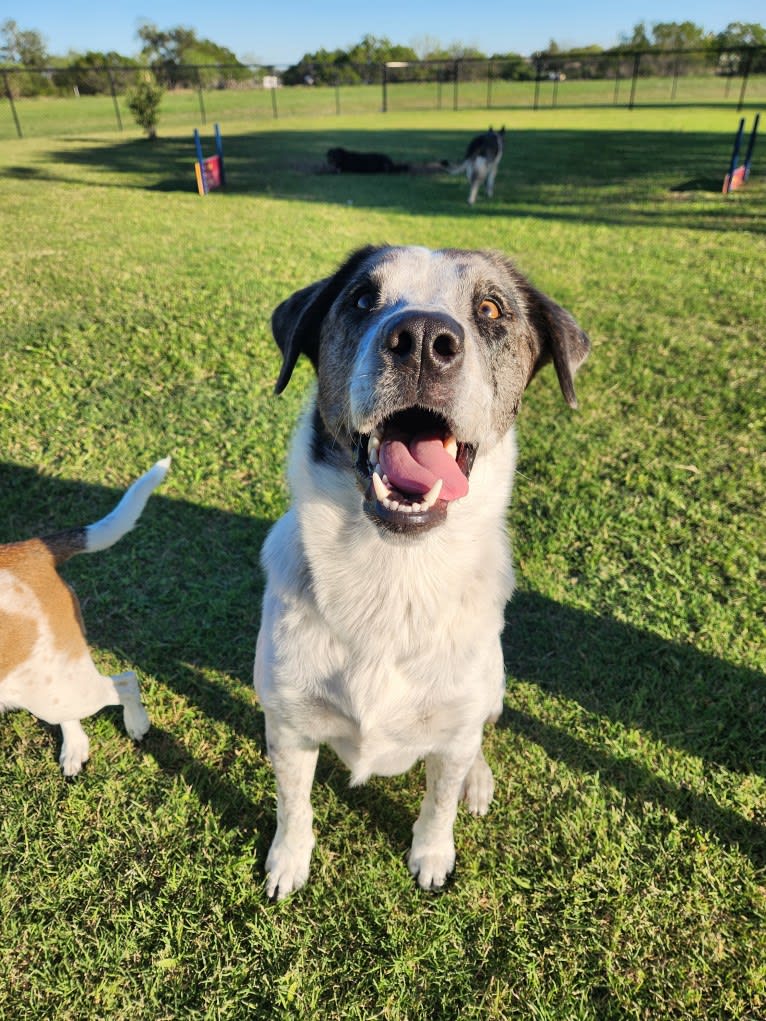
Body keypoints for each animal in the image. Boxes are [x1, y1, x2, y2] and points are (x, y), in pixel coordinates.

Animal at [0, 457, 168, 771]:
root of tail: (31, 550)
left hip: (52, 693)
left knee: (126, 682)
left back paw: (137, 724)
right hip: (46, 684)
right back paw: (76, 746)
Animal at [255, 242, 592, 898]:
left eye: (491, 309)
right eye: (363, 298)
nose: (420, 340)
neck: (394, 573)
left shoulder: (454, 730)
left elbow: (439, 801)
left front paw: (433, 856)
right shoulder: (288, 724)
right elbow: (294, 804)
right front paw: (288, 861)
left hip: (493, 685)